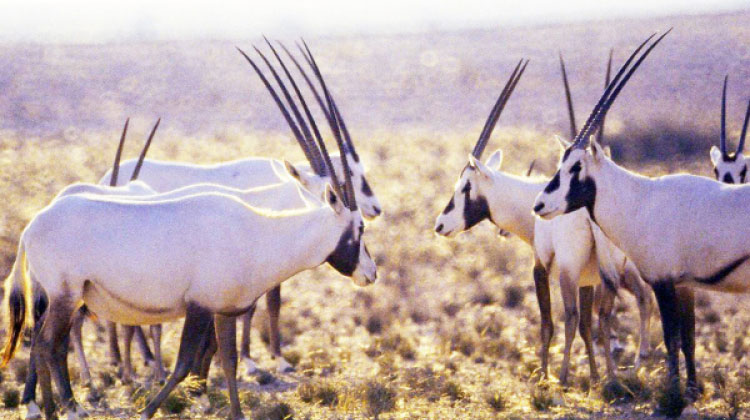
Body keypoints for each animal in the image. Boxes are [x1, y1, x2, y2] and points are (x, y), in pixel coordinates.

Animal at [98, 39, 382, 375]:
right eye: (351, 174)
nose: (376, 208)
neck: (278, 195)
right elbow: (264, 304)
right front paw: (264, 360)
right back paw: (130, 361)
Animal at [532, 30, 742, 415]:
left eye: (576, 166)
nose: (539, 204)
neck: (643, 196)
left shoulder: (659, 279)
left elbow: (671, 335)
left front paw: (672, 396)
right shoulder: (674, 282)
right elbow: (684, 334)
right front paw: (687, 390)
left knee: (582, 316)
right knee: (602, 315)